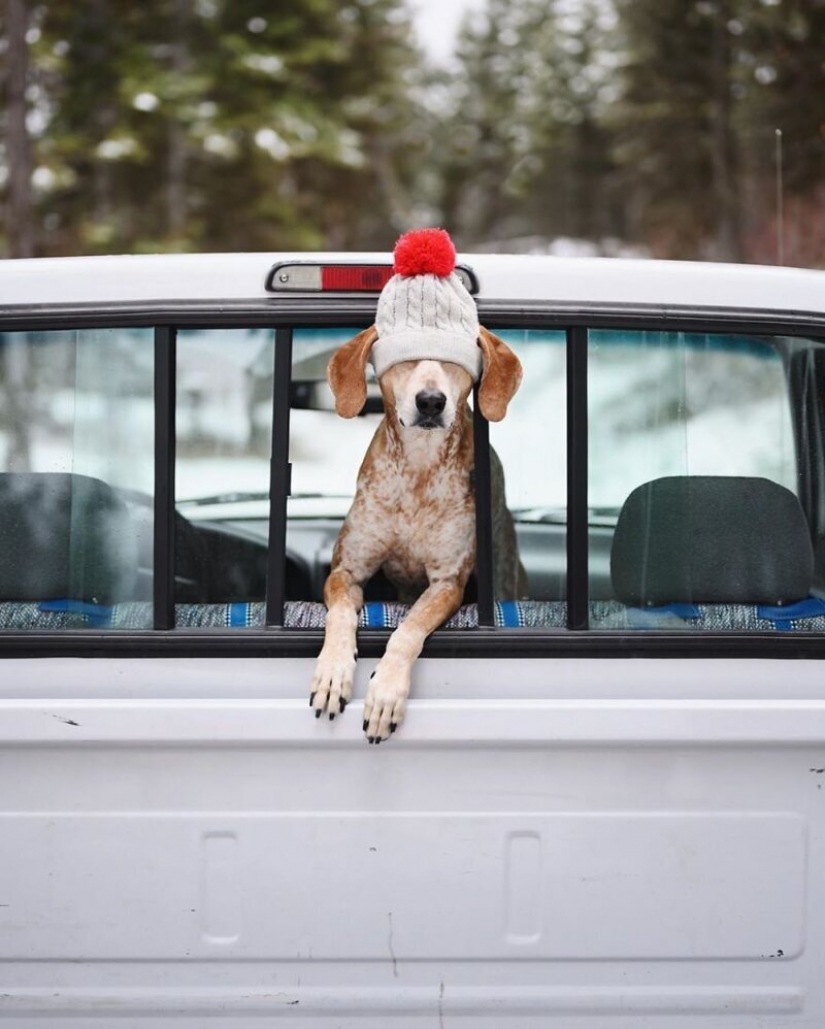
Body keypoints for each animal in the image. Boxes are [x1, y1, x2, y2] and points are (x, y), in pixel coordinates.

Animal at [308, 228, 520, 740]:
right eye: (404, 363)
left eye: (454, 362)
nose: (430, 401)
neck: (419, 472)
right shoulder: (347, 570)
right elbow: (339, 615)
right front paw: (332, 672)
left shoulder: (446, 583)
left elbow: (408, 629)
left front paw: (385, 692)